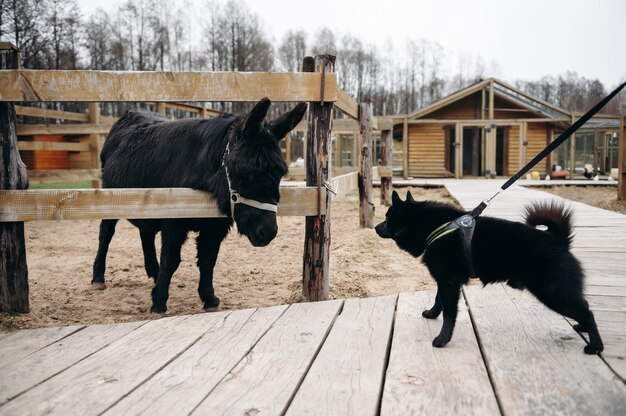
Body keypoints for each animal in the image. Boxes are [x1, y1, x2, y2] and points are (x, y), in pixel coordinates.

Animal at [372, 192, 604, 354]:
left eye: (388, 218)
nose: (375, 227)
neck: (434, 227)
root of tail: (557, 240)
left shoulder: (449, 283)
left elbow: (449, 314)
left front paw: (443, 339)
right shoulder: (444, 281)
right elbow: (438, 300)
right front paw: (431, 313)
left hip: (552, 293)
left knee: (588, 312)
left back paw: (595, 346)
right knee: (584, 307)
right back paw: (583, 328)